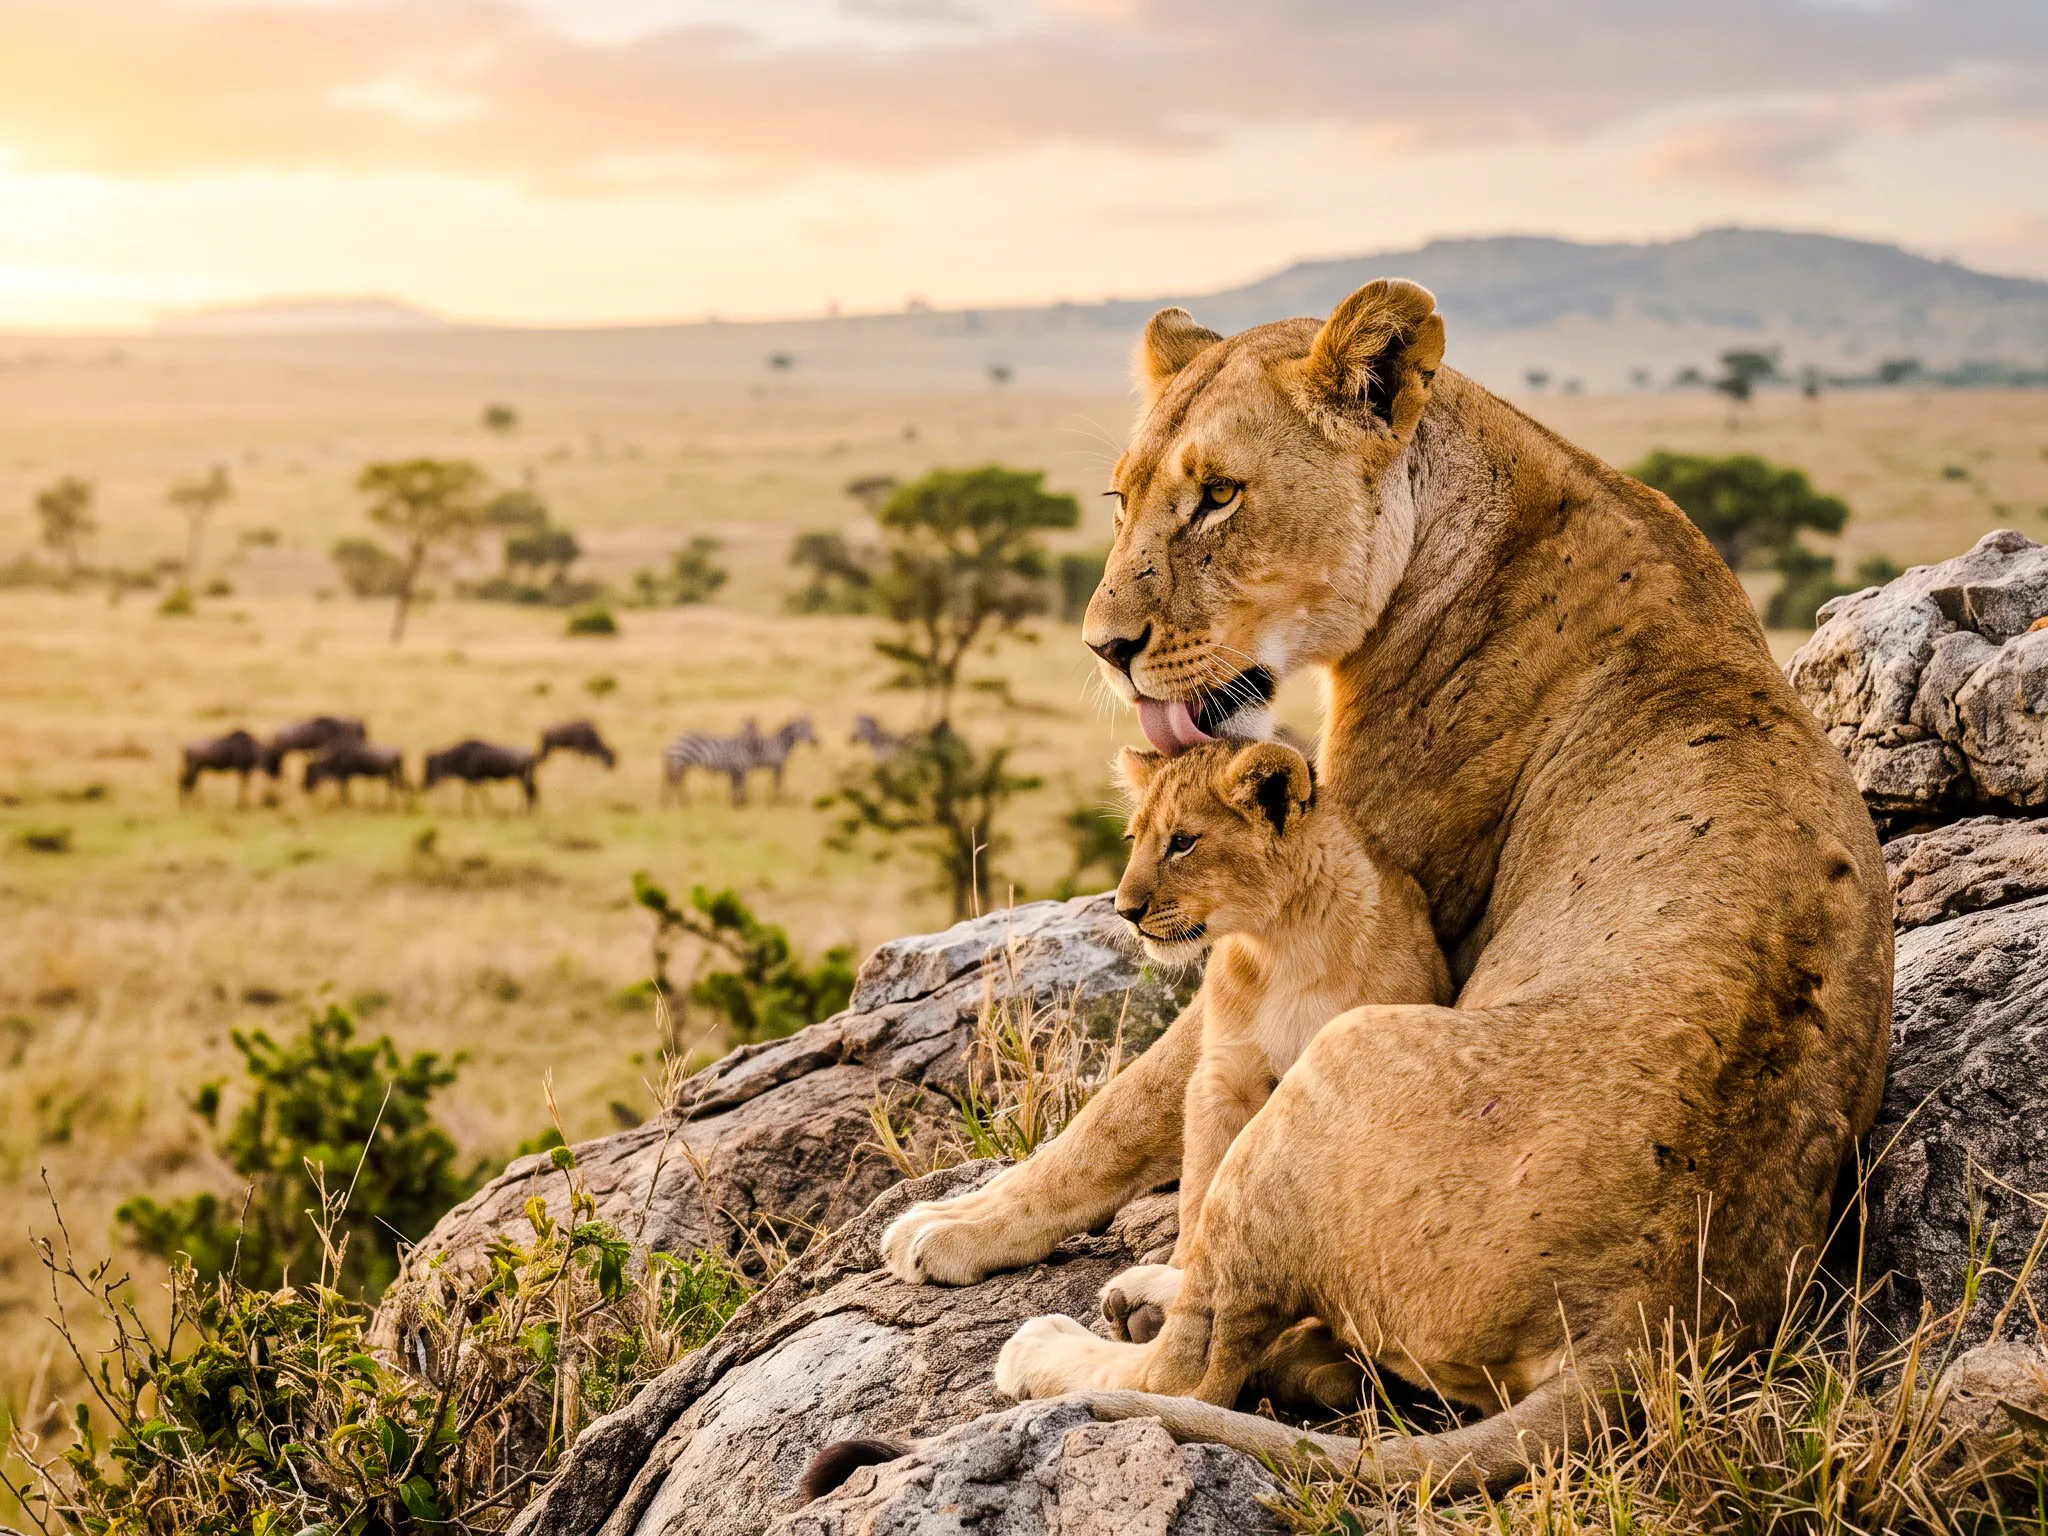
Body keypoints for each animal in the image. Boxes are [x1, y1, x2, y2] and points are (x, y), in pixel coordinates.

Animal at [662, 717, 816, 806]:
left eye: (812, 729)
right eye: (807, 730)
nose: (817, 742)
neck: (779, 744)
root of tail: (672, 741)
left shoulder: (739, 769)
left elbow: (738, 786)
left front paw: (739, 804)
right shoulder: (776, 766)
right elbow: (774, 784)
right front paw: (775, 801)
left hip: (682, 765)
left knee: (675, 782)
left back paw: (677, 804)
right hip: (681, 762)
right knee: (676, 783)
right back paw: (682, 804)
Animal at [878, 279, 1892, 1492]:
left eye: (1219, 497)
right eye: (1122, 499)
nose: (1103, 647)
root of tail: (1644, 1327)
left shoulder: (1338, 877)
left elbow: (1124, 1105)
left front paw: (952, 1225)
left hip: (1341, 1056)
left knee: (1199, 1364)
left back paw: (1069, 1340)